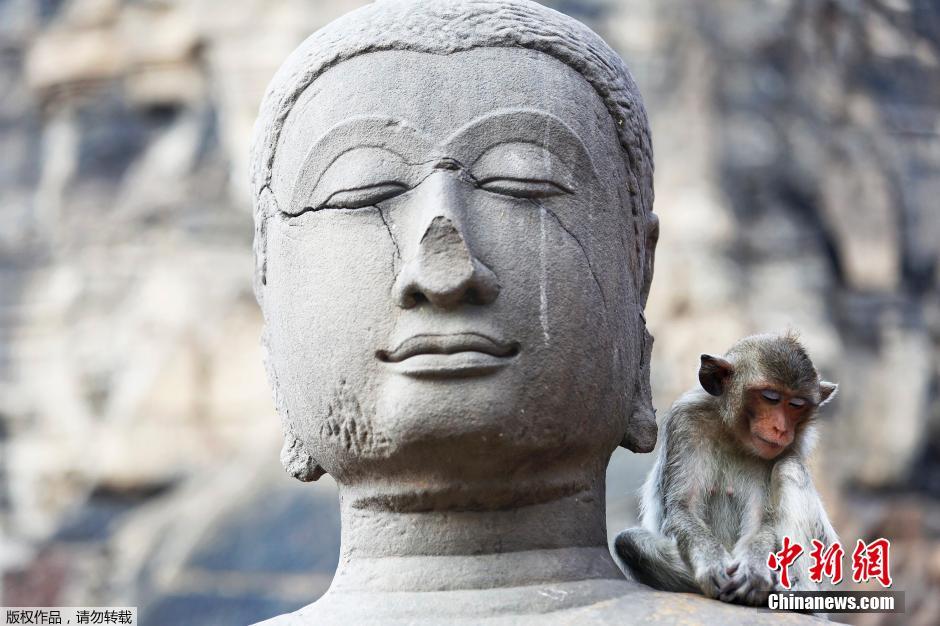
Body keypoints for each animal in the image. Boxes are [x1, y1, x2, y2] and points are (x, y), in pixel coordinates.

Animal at [616, 332, 836, 604]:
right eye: (771, 398)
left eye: (796, 404)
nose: (781, 429)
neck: (735, 436)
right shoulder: (686, 422)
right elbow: (683, 507)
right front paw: (712, 563)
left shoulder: (790, 447)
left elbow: (761, 519)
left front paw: (753, 570)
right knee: (629, 542)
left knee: (789, 468)